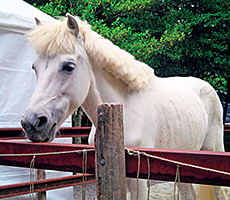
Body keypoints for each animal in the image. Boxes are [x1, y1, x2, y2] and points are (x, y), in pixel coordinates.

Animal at [21, 14, 226, 200]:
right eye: (34, 67)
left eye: (69, 66)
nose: (32, 123)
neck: (125, 109)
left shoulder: (139, 180)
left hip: (213, 153)